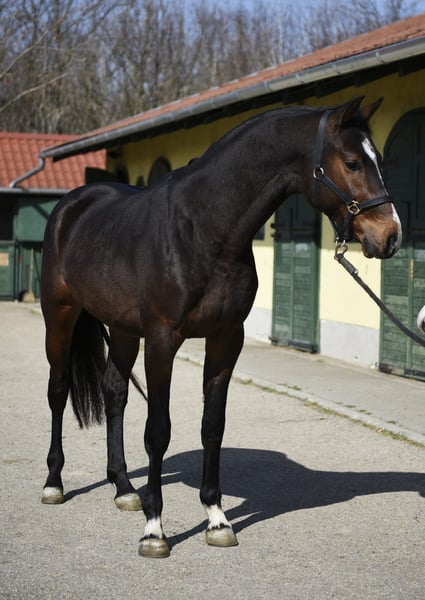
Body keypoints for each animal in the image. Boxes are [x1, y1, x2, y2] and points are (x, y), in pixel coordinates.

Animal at [40, 96, 402, 558]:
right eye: (353, 162)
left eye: (379, 161)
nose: (390, 235)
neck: (204, 230)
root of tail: (71, 204)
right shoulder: (162, 340)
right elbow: (158, 431)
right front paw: (154, 530)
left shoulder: (226, 338)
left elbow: (213, 426)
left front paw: (216, 519)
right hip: (60, 314)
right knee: (58, 391)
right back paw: (54, 483)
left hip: (122, 329)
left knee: (115, 394)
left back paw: (124, 489)